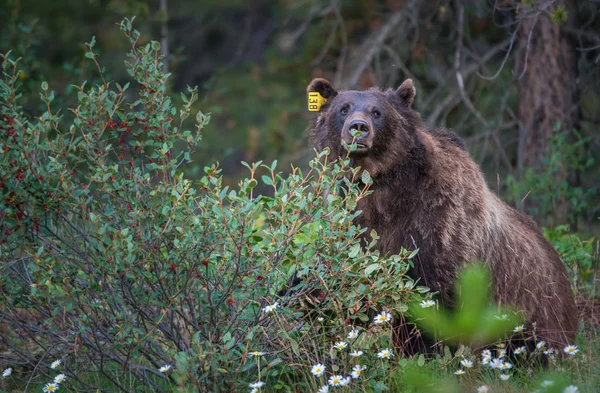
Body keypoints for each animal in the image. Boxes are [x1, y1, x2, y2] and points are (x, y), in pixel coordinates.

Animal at [304, 77, 576, 352]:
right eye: (343, 108)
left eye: (377, 112)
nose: (358, 128)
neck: (383, 192)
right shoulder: (352, 225)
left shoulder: (437, 230)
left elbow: (431, 303)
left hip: (530, 306)